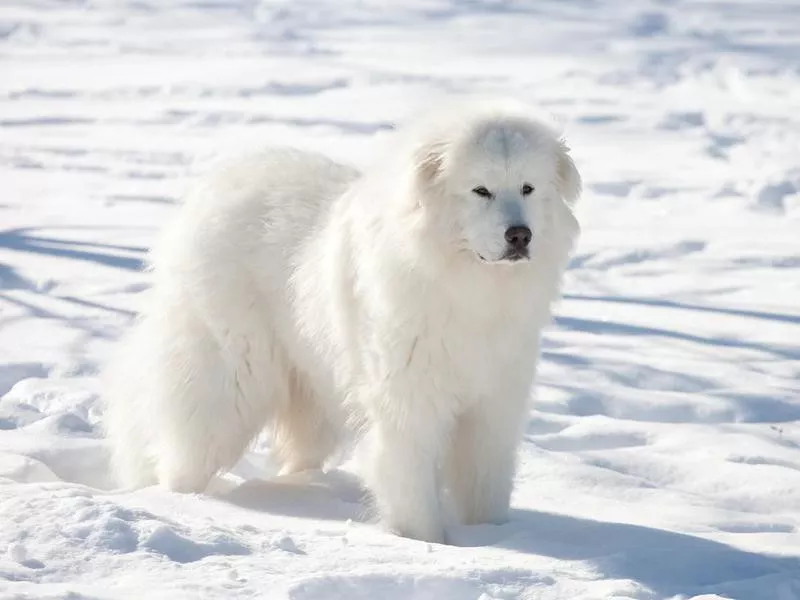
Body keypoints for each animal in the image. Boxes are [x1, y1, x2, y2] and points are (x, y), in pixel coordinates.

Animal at [104, 98, 580, 544]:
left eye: (528, 188)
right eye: (480, 190)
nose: (519, 235)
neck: (466, 288)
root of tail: (212, 187)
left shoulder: (493, 405)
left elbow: (486, 483)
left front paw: (492, 537)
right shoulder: (408, 403)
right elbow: (410, 483)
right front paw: (425, 543)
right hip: (231, 378)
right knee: (188, 446)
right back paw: (179, 502)